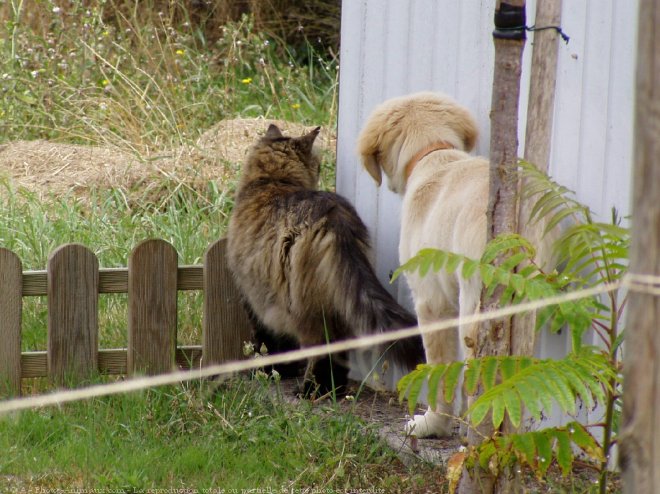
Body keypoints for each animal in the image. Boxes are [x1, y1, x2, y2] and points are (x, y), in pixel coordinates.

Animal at [227, 124, 422, 398]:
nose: (319, 171)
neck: (271, 181)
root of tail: (333, 216)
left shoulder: (256, 298)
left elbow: (269, 342)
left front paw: (273, 371)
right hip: (337, 300)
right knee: (339, 348)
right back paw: (334, 390)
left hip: (303, 307)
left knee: (319, 348)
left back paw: (311, 390)